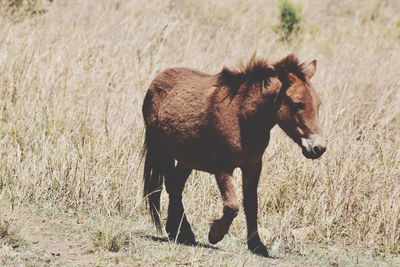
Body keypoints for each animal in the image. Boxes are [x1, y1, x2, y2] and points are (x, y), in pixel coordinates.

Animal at [142, 54, 326, 258]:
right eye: (298, 104)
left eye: (318, 104)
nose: (318, 148)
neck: (243, 117)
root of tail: (156, 81)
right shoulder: (223, 168)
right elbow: (232, 206)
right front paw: (215, 234)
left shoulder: (253, 166)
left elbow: (251, 205)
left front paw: (257, 245)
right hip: (163, 152)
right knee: (172, 187)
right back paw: (183, 232)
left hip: (186, 159)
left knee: (176, 188)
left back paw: (178, 231)